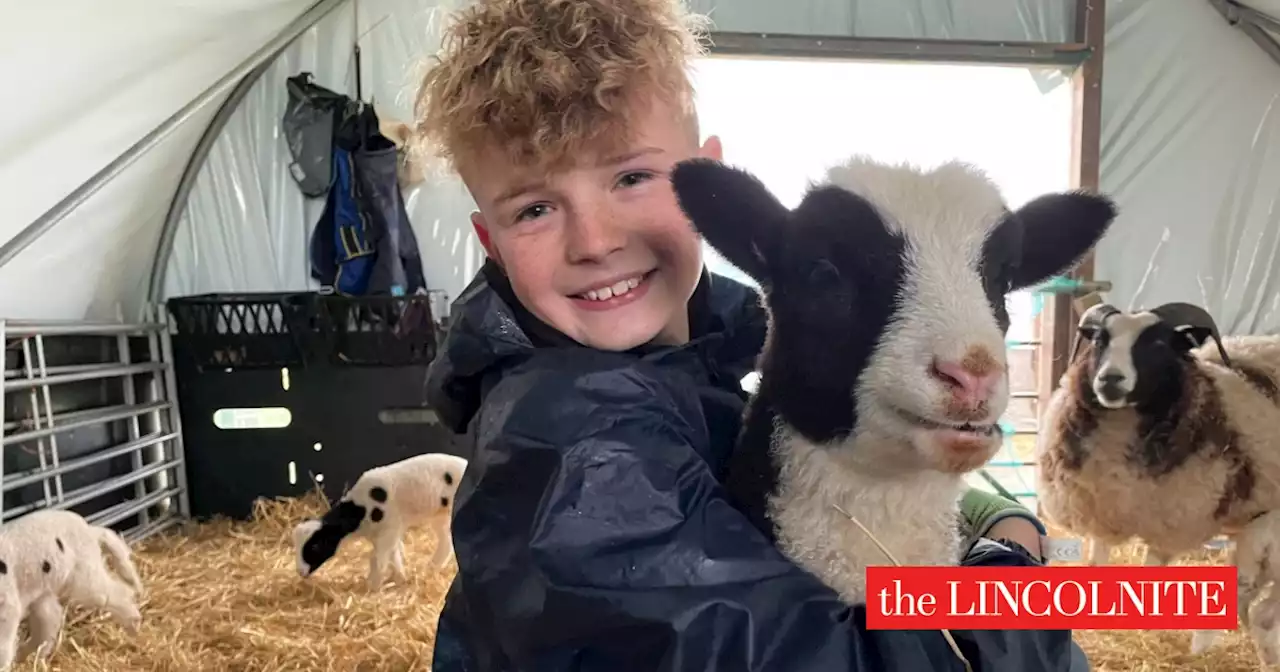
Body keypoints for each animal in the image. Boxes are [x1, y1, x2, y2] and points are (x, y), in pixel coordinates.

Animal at [0, 512, 144, 665]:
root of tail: (90, 530)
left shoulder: (7, 606)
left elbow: (4, 645)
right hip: (45, 590)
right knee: (51, 617)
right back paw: (32, 656)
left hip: (85, 576)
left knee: (116, 592)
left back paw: (134, 627)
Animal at [293, 453, 468, 588]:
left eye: (315, 546)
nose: (300, 572)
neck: (361, 510)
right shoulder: (386, 534)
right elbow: (393, 556)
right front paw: (399, 578)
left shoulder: (389, 529)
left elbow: (377, 560)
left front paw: (373, 586)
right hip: (441, 515)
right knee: (446, 542)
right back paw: (432, 567)